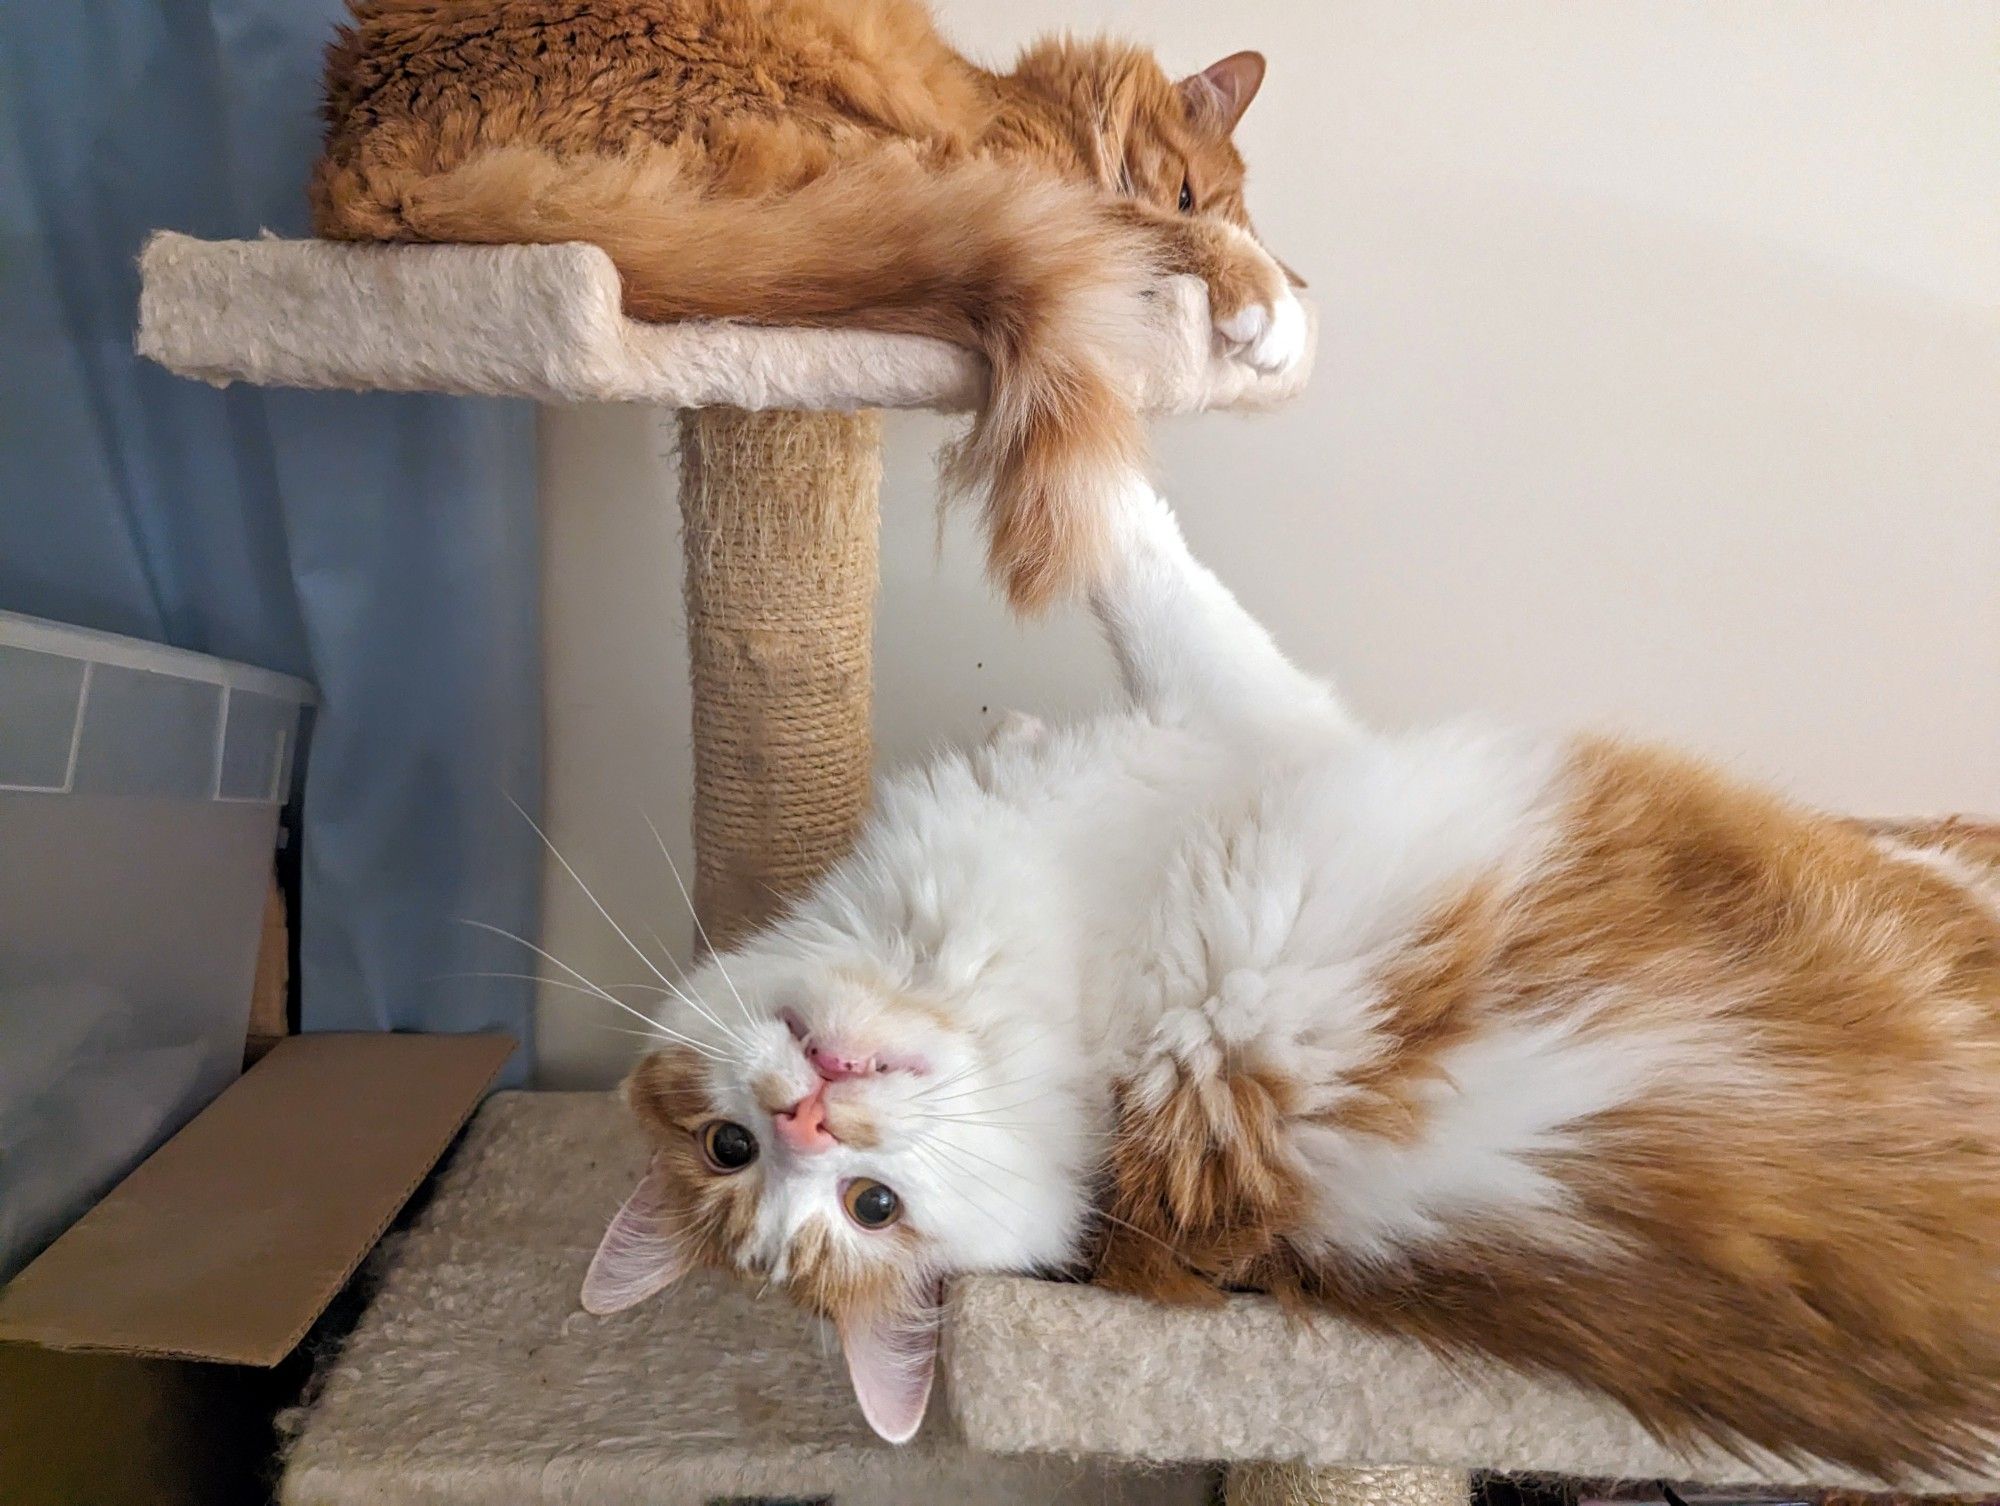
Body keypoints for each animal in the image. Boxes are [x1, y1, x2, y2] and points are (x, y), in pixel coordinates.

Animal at [312, 4, 1312, 612]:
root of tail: (360, 155)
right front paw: (1269, 301)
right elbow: (1154, 232)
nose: (1180, 206)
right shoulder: (1024, 173)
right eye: (1184, 193)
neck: (1049, 118)